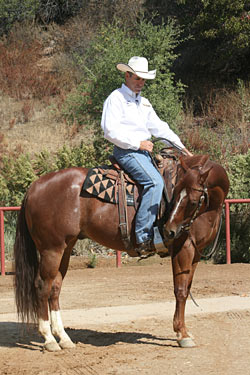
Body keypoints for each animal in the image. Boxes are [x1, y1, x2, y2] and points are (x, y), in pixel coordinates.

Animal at [13, 151, 229, 352]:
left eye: (192, 201)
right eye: (175, 195)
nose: (169, 230)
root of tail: (35, 186)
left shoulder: (196, 253)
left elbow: (188, 287)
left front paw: (184, 331)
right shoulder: (183, 249)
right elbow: (181, 291)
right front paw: (182, 334)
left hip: (65, 248)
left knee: (55, 288)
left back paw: (64, 338)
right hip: (51, 249)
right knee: (43, 286)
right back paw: (49, 339)